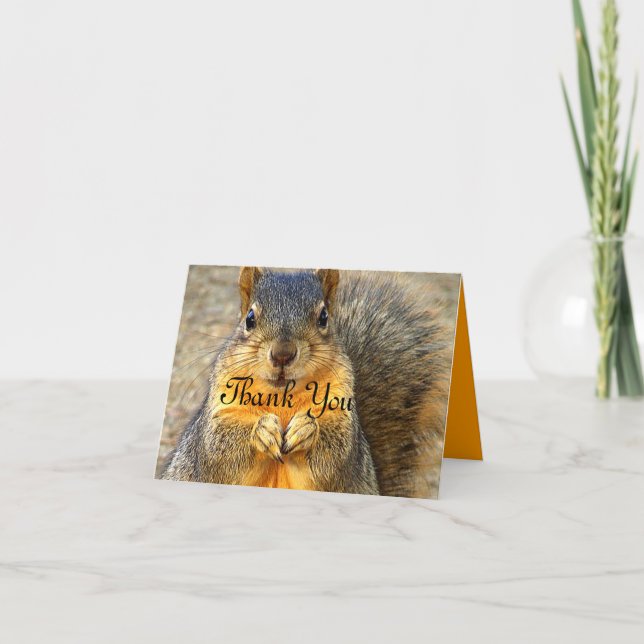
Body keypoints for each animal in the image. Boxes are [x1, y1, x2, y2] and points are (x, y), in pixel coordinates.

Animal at [161, 267, 450, 498]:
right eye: (250, 319)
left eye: (323, 317)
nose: (282, 354)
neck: (281, 397)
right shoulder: (219, 414)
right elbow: (218, 450)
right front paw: (262, 430)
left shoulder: (343, 419)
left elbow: (335, 457)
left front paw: (307, 429)